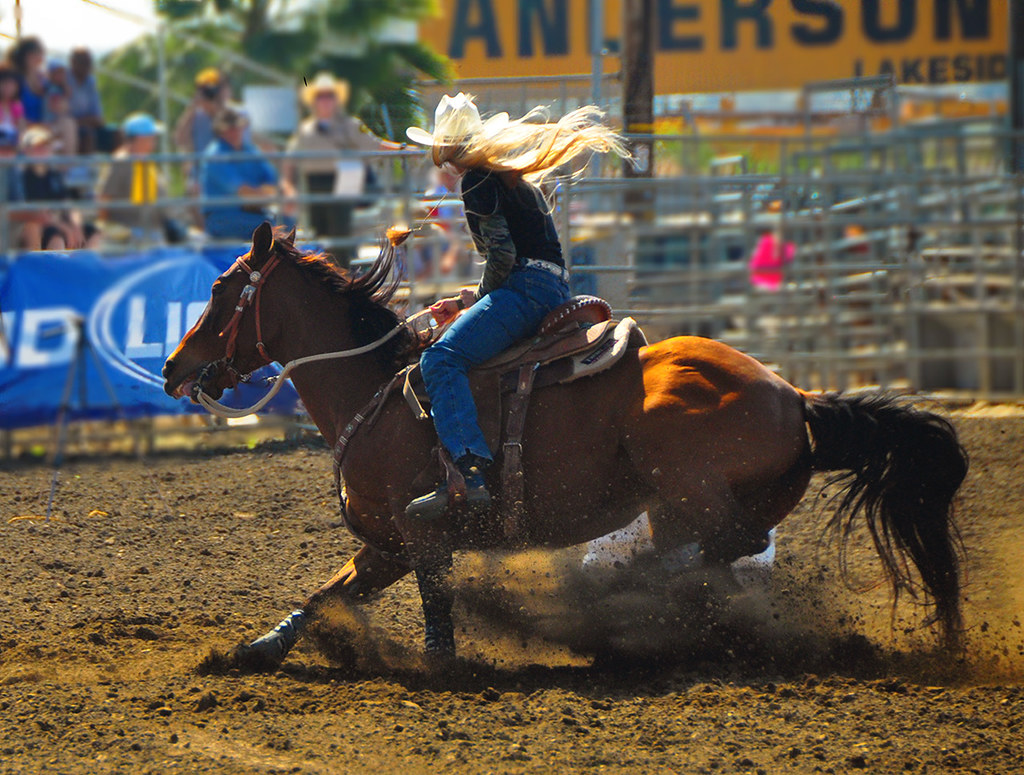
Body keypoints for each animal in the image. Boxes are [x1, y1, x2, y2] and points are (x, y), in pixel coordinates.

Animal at [161, 224, 966, 663]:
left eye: (221, 289)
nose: (171, 366)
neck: (376, 390)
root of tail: (793, 395)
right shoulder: (385, 544)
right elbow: (324, 594)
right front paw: (249, 651)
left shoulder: (422, 539)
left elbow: (435, 613)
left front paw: (446, 659)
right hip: (696, 505)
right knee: (712, 561)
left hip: (683, 484)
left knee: (712, 555)